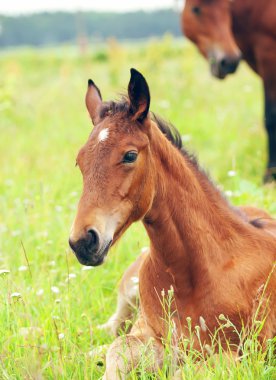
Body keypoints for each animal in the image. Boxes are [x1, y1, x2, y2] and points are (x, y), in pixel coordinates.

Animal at [69, 70, 276, 378]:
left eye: (130, 155)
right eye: (80, 161)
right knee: (107, 331)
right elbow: (117, 349)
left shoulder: (242, 355)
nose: (82, 241)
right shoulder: (148, 336)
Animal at [181, 0, 276, 183]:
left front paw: (269, 176)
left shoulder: (269, 57)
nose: (229, 61)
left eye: (227, 8)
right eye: (196, 9)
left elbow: (270, 119)